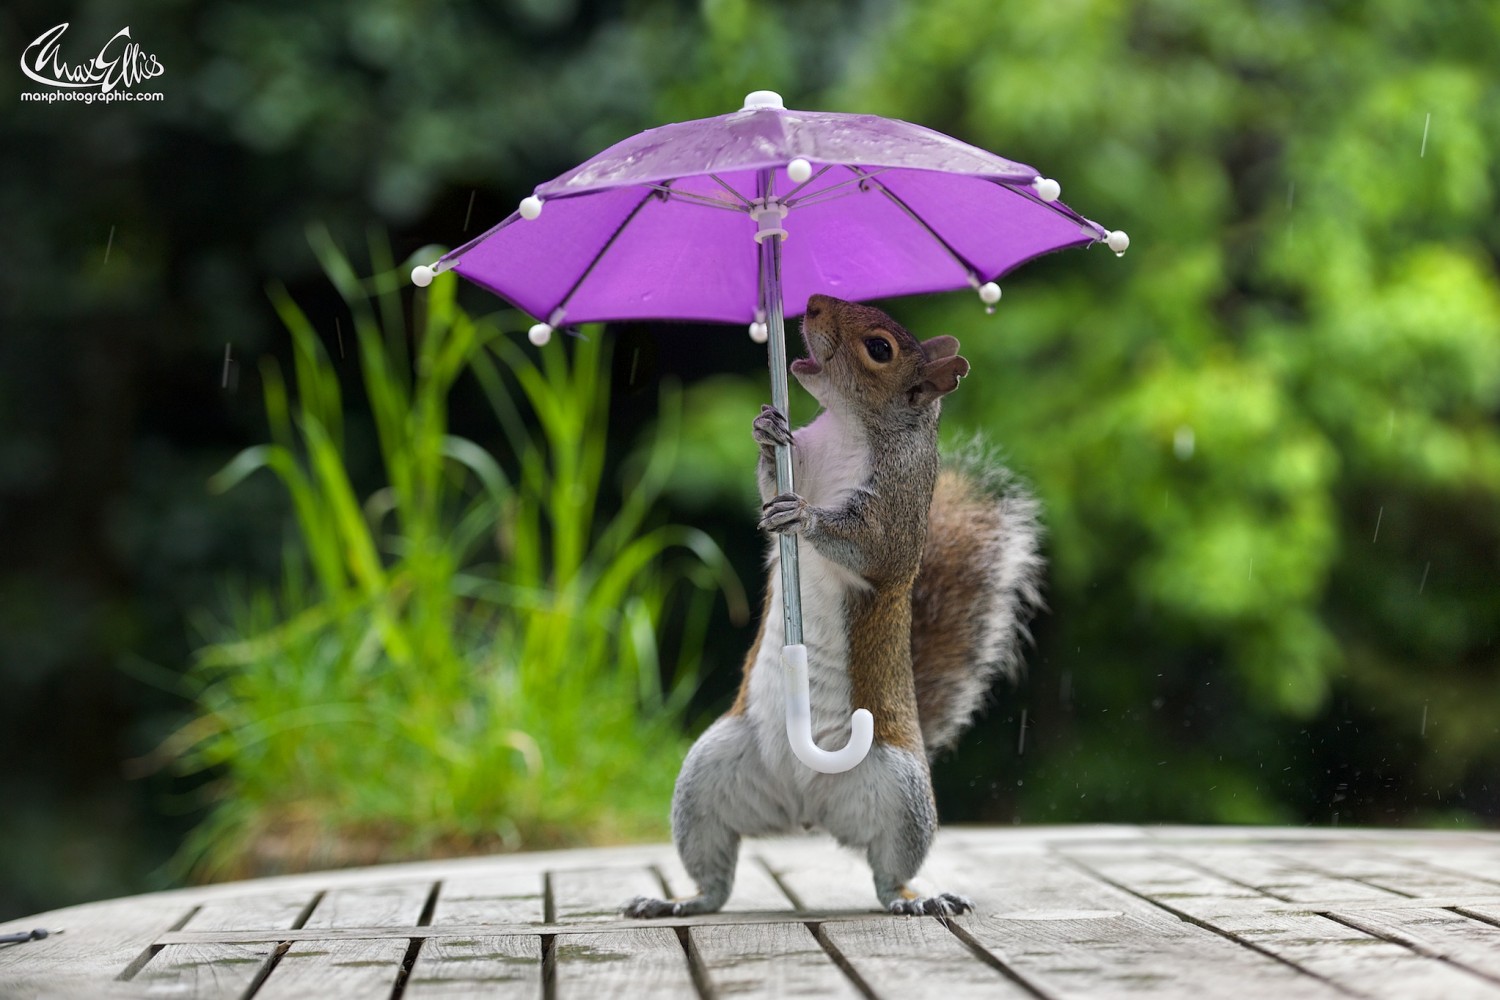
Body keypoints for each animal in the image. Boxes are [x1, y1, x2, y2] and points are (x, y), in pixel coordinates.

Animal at [621, 293, 1044, 917]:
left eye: (879, 349)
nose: (814, 303)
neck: (848, 427)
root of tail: (806, 812)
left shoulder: (894, 514)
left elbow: (868, 548)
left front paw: (807, 518)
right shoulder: (802, 461)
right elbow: (769, 486)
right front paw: (765, 429)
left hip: (899, 793)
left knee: (888, 871)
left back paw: (915, 900)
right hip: (706, 776)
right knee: (715, 875)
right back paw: (679, 902)